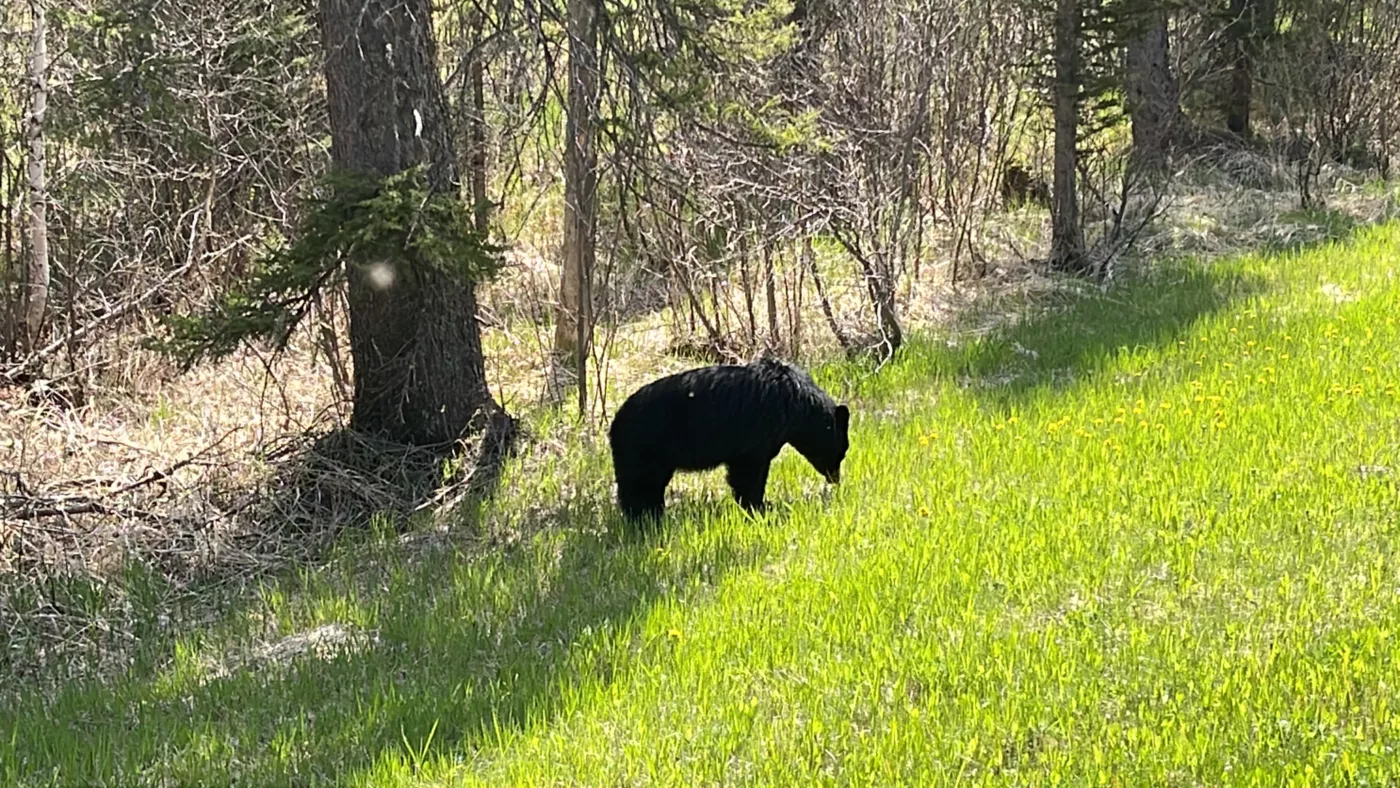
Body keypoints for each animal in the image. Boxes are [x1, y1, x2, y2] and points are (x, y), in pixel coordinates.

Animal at [607, 358, 845, 523]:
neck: (797, 404)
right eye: (842, 452)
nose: (836, 479)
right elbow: (747, 474)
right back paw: (642, 518)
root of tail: (615, 423)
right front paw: (760, 507)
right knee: (638, 484)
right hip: (644, 449)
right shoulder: (757, 434)